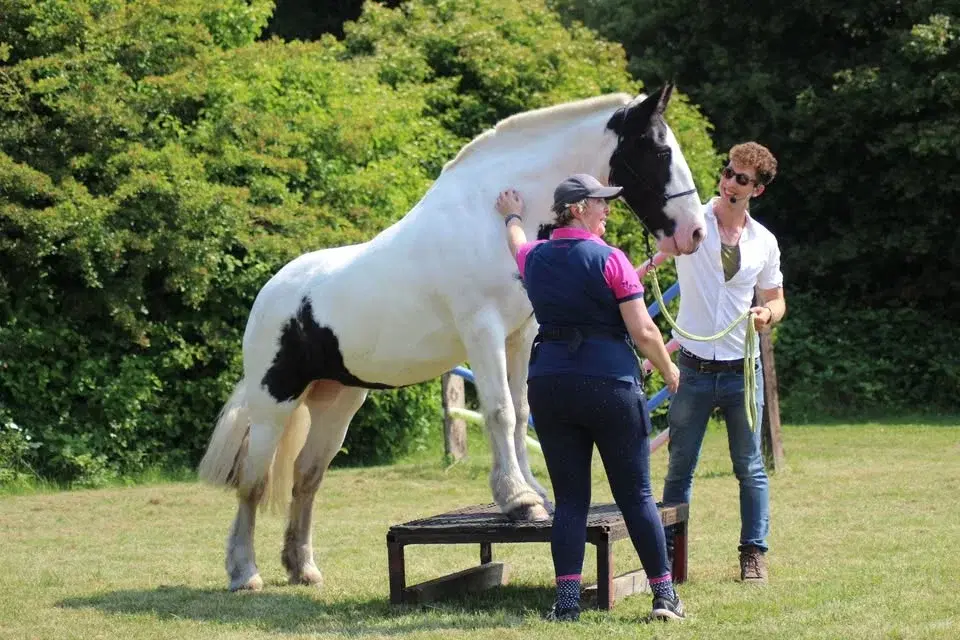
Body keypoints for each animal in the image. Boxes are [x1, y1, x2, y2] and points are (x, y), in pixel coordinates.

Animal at [198, 84, 706, 591]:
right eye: (660, 150)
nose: (695, 232)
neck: (489, 218)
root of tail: (272, 292)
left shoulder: (521, 334)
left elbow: (522, 412)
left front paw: (534, 492)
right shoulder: (483, 330)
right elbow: (499, 411)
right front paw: (518, 500)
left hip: (337, 402)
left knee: (306, 478)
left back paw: (302, 567)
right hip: (275, 402)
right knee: (253, 482)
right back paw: (244, 572)